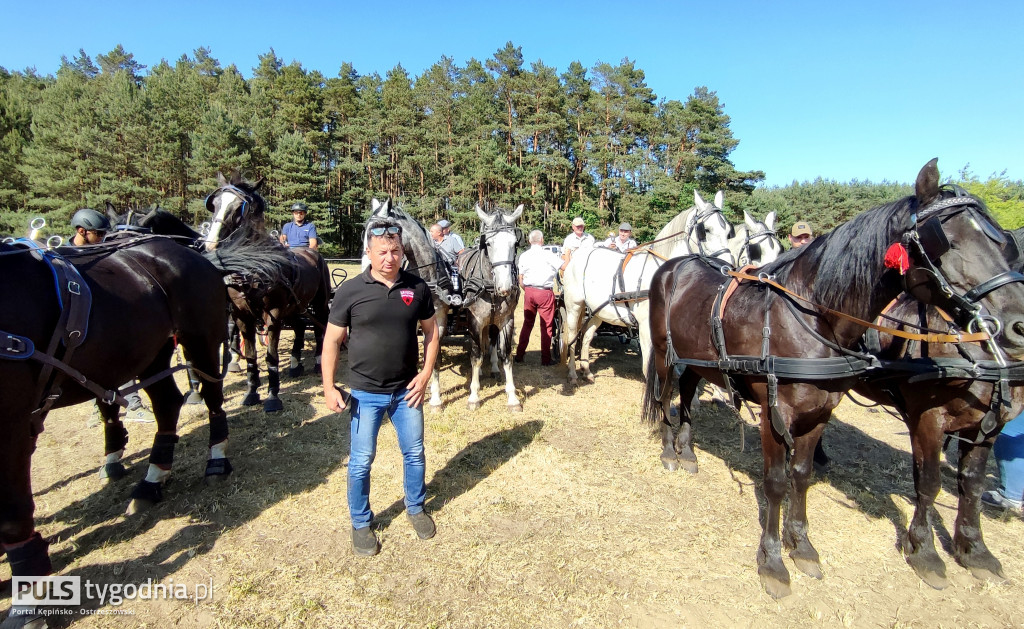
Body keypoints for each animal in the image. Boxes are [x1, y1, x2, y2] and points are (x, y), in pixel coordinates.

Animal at [0, 230, 276, 622]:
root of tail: (197, 256)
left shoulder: (12, 423)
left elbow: (13, 514)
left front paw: (28, 602)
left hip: (199, 340)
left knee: (211, 398)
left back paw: (216, 460)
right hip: (152, 351)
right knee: (167, 403)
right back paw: (152, 479)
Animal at [561, 188, 737, 385]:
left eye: (729, 232)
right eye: (705, 230)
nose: (727, 268)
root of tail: (577, 258)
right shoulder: (646, 327)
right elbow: (648, 367)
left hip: (598, 310)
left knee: (586, 336)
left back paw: (586, 370)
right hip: (574, 306)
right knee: (572, 337)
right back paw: (572, 373)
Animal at [643, 159, 1024, 598]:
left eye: (1004, 244)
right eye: (948, 241)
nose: (1017, 323)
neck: (809, 317)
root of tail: (675, 264)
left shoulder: (821, 412)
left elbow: (802, 476)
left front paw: (802, 545)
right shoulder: (781, 416)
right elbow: (776, 482)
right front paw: (772, 561)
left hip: (697, 363)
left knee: (688, 398)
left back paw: (688, 452)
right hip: (665, 357)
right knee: (666, 398)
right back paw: (670, 452)